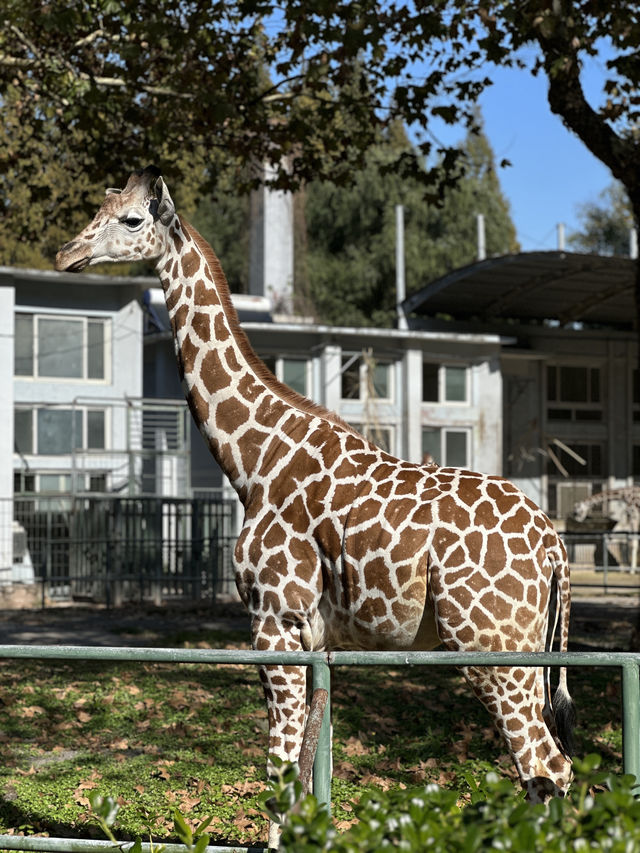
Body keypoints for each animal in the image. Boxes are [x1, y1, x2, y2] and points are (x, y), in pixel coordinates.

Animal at [56, 165, 576, 844]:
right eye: (99, 210)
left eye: (131, 220)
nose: (67, 254)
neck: (253, 461)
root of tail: (555, 544)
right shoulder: (317, 634)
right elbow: (306, 766)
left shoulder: (273, 617)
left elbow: (279, 769)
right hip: (526, 651)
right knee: (545, 768)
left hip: (492, 646)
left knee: (546, 764)